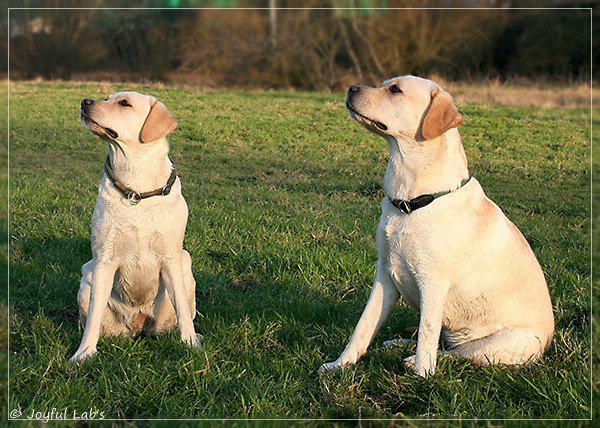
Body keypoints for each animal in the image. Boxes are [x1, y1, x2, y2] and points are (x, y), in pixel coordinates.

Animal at [70, 92, 202, 362]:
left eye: (124, 103)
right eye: (107, 97)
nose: (85, 101)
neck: (137, 188)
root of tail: (139, 323)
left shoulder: (171, 258)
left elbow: (183, 311)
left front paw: (191, 343)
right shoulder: (104, 261)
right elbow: (93, 317)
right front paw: (84, 353)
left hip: (186, 266)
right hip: (87, 275)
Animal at [322, 75, 556, 376]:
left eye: (395, 89)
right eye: (384, 84)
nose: (351, 88)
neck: (411, 202)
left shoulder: (433, 282)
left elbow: (427, 332)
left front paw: (422, 376)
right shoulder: (384, 273)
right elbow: (363, 326)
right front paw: (340, 365)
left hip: (505, 341)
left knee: (456, 352)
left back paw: (413, 360)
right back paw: (397, 342)